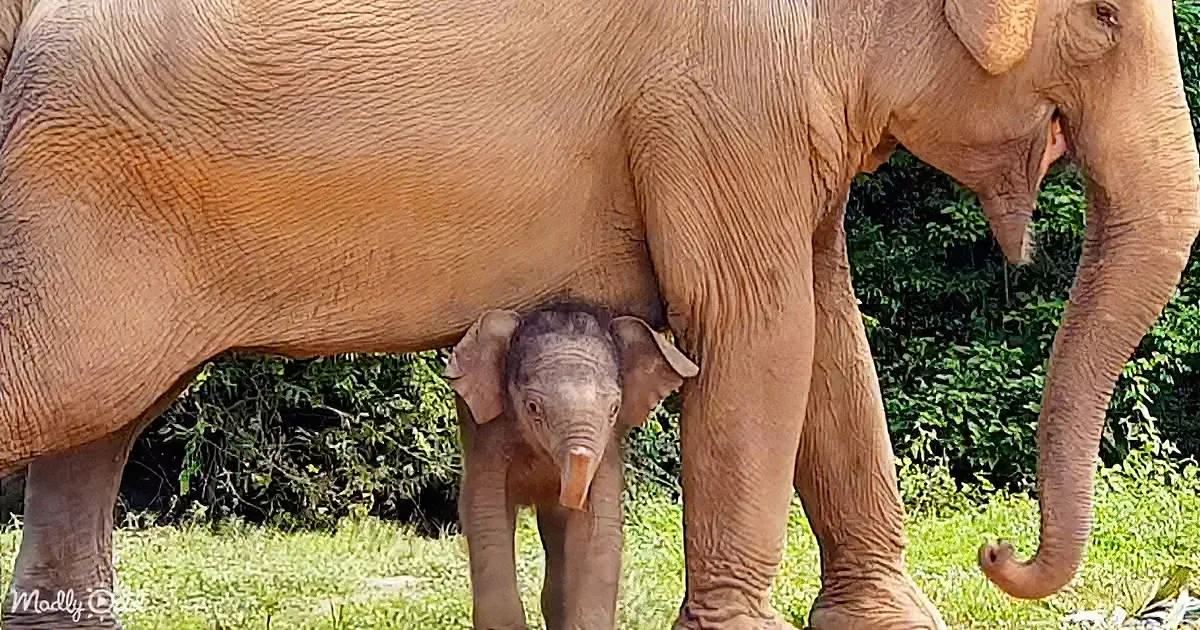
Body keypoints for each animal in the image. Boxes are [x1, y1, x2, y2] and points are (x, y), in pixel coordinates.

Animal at [447, 304, 699, 630]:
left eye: (614, 409)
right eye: (533, 408)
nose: (566, 490)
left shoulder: (606, 449)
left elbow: (600, 526)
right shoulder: (488, 435)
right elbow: (486, 514)